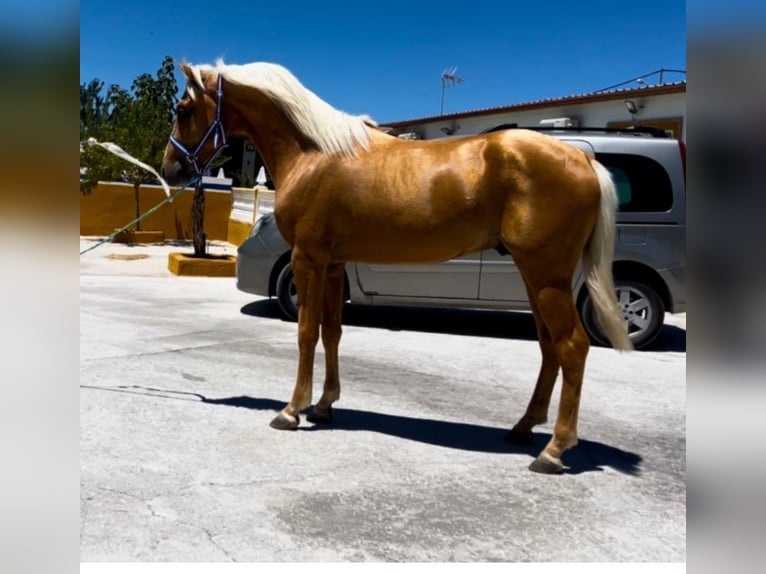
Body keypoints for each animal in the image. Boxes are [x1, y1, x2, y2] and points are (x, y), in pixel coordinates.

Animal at [160, 60, 632, 476]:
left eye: (183, 109)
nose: (171, 167)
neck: (313, 153)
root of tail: (585, 161)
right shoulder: (335, 265)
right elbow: (332, 332)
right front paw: (325, 405)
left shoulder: (308, 260)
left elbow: (306, 332)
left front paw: (292, 410)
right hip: (537, 278)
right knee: (550, 347)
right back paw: (522, 428)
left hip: (547, 277)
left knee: (572, 346)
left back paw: (553, 451)